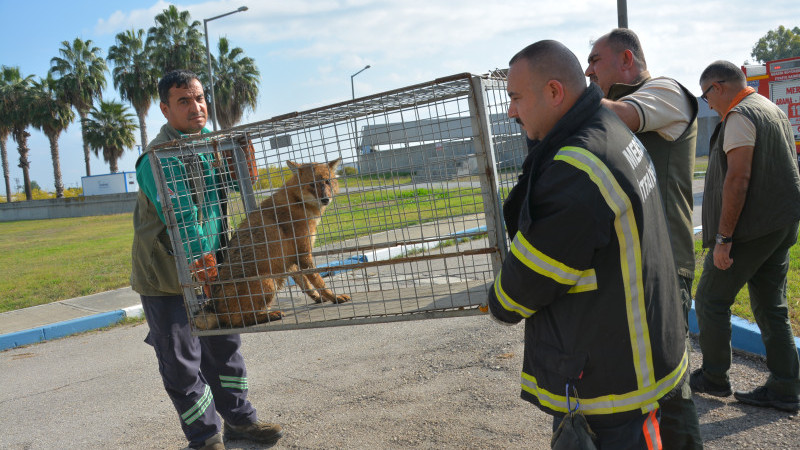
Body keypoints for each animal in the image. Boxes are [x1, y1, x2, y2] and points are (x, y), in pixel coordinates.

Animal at [194, 156, 350, 328]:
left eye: (327, 181)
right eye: (312, 184)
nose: (325, 199)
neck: (297, 202)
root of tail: (215, 309)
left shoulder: (291, 261)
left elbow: (306, 285)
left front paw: (318, 298)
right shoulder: (304, 255)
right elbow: (319, 282)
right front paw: (334, 297)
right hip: (269, 281)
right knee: (241, 320)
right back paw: (271, 315)